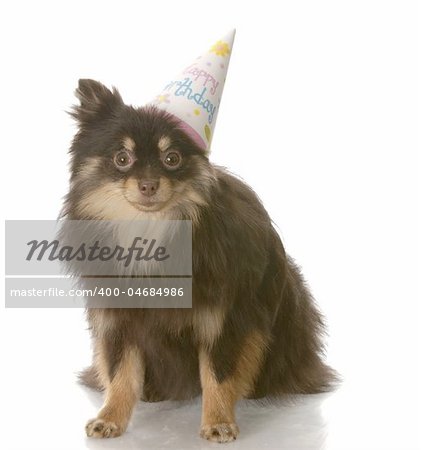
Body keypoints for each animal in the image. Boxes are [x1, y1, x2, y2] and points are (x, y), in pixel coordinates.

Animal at [61, 78, 334, 442]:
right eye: (122, 158)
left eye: (172, 158)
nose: (148, 184)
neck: (150, 230)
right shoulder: (120, 321)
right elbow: (121, 374)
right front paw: (110, 418)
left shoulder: (224, 319)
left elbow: (218, 373)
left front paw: (218, 421)